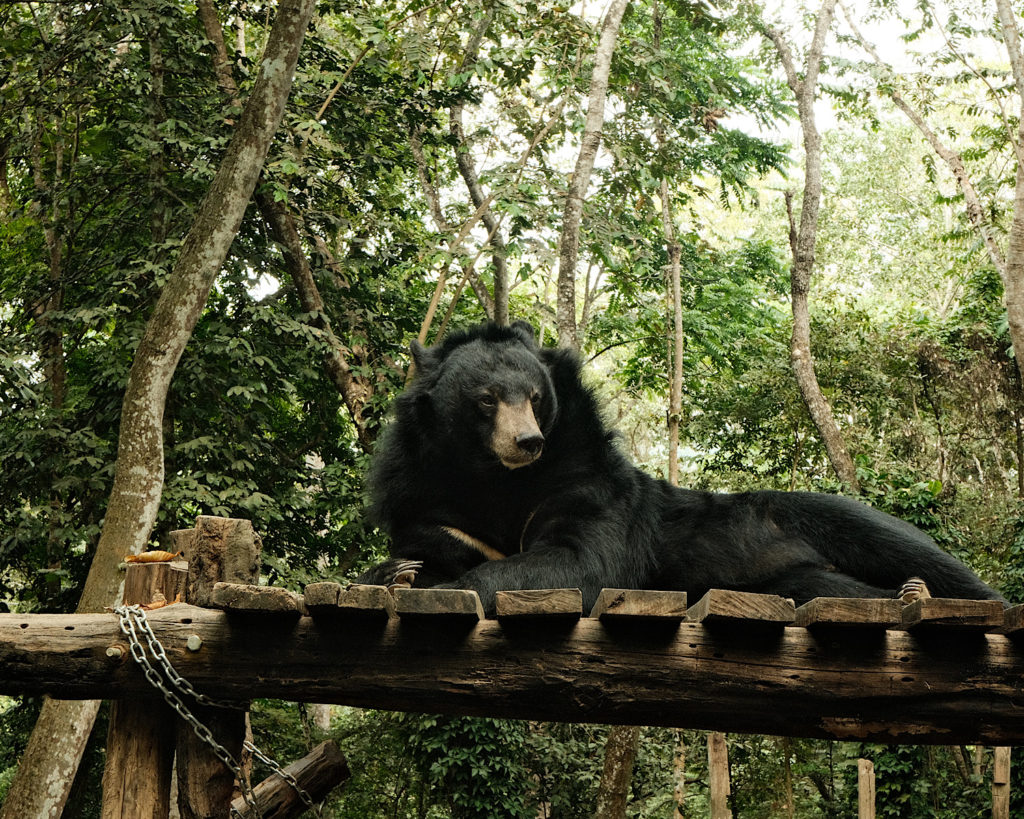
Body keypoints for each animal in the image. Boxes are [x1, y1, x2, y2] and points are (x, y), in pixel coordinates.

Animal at [356, 319, 1003, 614]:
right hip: (791, 578)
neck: (496, 479)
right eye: (488, 399)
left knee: (913, 550)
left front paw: (439, 585)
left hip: (816, 514)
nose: (528, 442)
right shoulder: (424, 490)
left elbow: (579, 561)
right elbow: (435, 541)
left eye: (536, 398)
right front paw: (395, 573)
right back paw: (902, 593)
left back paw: (935, 589)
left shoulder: (586, 485)